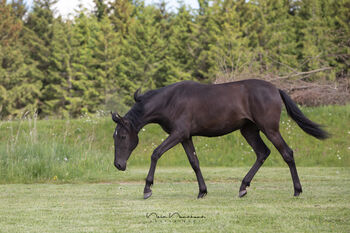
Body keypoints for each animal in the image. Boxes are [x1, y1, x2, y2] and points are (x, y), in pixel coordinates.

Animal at [111, 79, 328, 199]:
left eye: (122, 136)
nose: (118, 165)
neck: (169, 100)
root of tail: (276, 89)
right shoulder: (185, 137)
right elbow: (194, 162)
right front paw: (202, 191)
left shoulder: (178, 134)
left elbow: (156, 153)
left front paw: (147, 189)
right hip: (249, 131)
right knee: (262, 153)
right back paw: (243, 187)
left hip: (270, 129)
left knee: (287, 153)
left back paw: (297, 190)